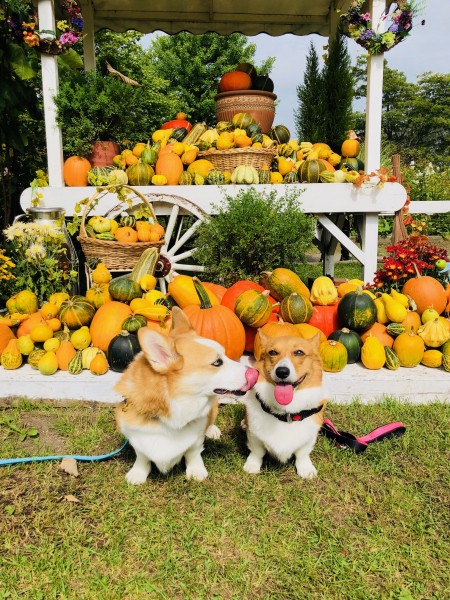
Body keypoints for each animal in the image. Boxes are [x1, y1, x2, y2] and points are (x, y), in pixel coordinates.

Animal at [114, 308, 258, 486]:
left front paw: (196, 471)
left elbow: (193, 453)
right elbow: (142, 457)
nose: (256, 373)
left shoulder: (196, 439)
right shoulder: (136, 438)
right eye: (217, 362)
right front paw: (138, 473)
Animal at [243, 330, 326, 480]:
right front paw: (252, 465)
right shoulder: (254, 435)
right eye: (272, 352)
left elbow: (302, 454)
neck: (286, 413)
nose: (282, 372)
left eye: (299, 352)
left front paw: (306, 469)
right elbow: (257, 452)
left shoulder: (309, 437)